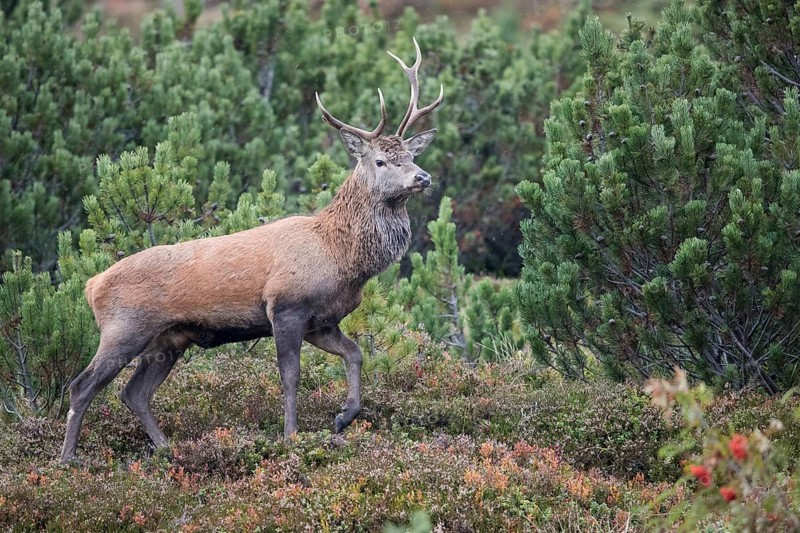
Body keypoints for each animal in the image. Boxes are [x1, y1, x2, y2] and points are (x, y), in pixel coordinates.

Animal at [59, 37, 444, 464]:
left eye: (411, 156)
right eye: (380, 160)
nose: (422, 177)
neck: (341, 258)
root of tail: (91, 284)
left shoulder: (322, 321)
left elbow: (356, 353)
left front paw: (344, 416)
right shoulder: (287, 305)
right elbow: (290, 375)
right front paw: (291, 436)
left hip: (168, 339)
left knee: (134, 392)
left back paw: (170, 450)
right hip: (123, 328)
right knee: (82, 385)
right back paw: (67, 460)